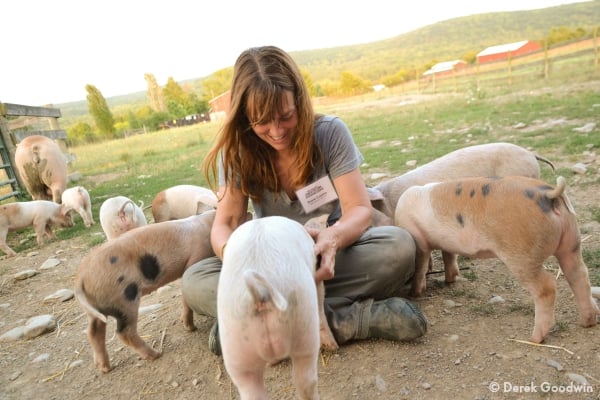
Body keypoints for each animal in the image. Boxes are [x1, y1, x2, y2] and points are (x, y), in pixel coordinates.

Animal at [74, 209, 216, 372]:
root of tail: (81, 277)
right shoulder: (196, 258)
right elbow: (186, 298)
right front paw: (191, 328)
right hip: (125, 298)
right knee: (124, 332)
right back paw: (156, 354)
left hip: (96, 307)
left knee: (93, 331)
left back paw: (105, 368)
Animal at [218, 216, 338, 400]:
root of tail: (260, 293)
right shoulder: (316, 278)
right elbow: (321, 298)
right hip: (303, 324)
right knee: (305, 379)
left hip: (235, 345)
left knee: (250, 388)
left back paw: (271, 363)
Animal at [394, 177, 600, 342]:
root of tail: (548, 194)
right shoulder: (446, 243)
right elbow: (449, 256)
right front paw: (450, 280)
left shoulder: (418, 238)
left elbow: (420, 264)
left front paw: (415, 293)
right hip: (571, 243)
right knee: (579, 275)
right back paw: (588, 321)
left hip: (521, 253)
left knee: (547, 287)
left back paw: (534, 338)